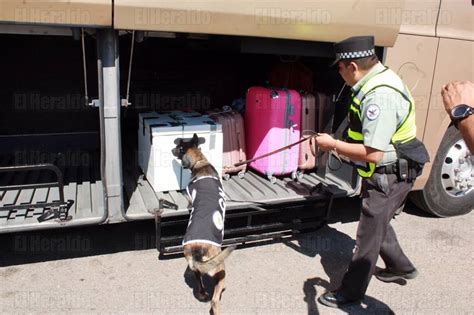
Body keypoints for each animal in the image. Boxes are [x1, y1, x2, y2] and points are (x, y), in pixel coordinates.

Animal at [172, 134, 235, 315]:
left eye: (177, 147)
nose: (171, 149)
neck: (200, 162)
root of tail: (197, 248)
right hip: (220, 269)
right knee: (214, 300)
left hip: (196, 268)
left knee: (199, 280)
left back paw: (202, 292)